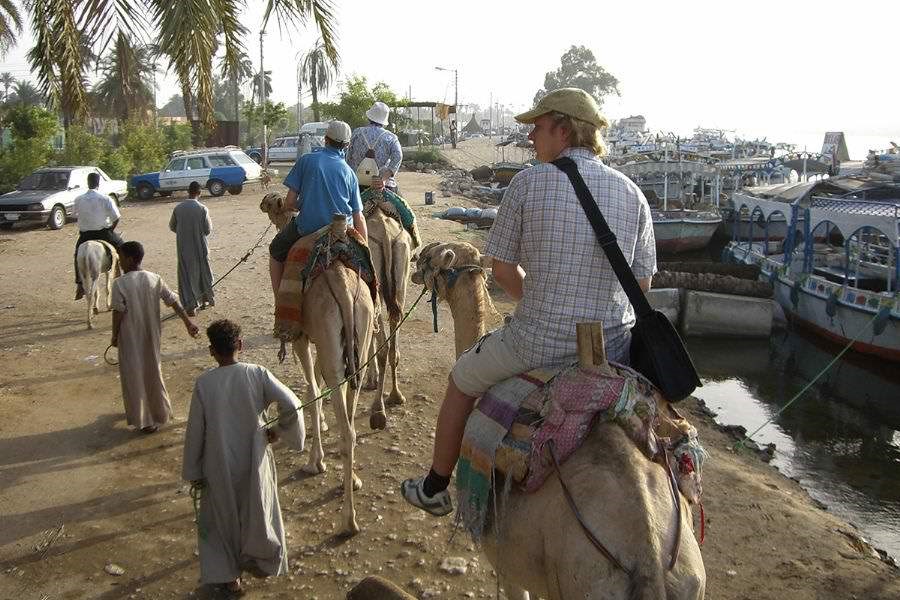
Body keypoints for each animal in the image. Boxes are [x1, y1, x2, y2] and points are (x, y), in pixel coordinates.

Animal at [286, 214, 374, 536]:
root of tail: (345, 290)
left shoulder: (302, 338)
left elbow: (312, 390)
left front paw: (315, 461)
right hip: (359, 336)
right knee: (350, 416)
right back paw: (355, 482)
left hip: (327, 338)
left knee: (346, 425)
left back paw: (348, 521)